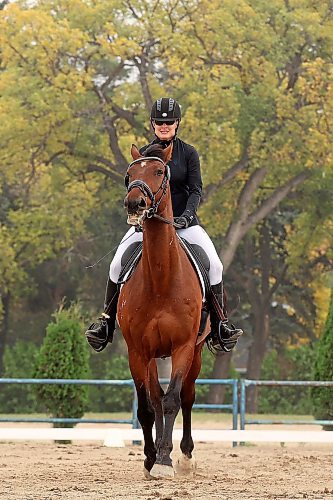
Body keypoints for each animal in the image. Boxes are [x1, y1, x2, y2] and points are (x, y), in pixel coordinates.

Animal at [118, 143, 204, 478]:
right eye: (129, 173)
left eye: (158, 171)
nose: (135, 203)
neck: (161, 280)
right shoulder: (138, 351)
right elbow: (147, 406)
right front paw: (150, 458)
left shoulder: (183, 347)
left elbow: (172, 401)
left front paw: (166, 460)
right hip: (153, 356)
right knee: (155, 398)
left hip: (197, 353)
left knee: (187, 398)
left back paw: (186, 457)